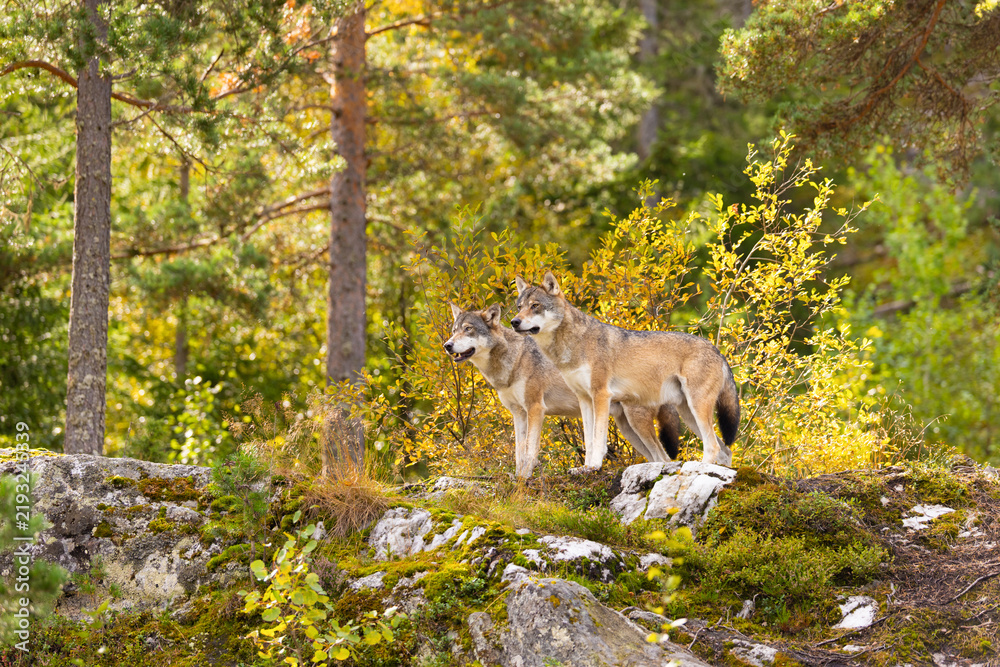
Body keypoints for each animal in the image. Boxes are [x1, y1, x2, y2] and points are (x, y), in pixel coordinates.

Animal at [444, 303, 677, 478]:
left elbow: (530, 450)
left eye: (468, 329)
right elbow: (519, 453)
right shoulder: (518, 413)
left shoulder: (535, 408)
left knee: (664, 458)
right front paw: (518, 477)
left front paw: (524, 479)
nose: (447, 345)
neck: (513, 360)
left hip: (637, 423)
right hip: (627, 429)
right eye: (454, 330)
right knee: (657, 457)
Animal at [511, 272, 740, 469]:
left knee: (713, 446)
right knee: (725, 450)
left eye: (535, 306)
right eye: (520, 306)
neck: (572, 346)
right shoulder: (584, 400)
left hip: (695, 408)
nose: (514, 322)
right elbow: (589, 440)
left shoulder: (601, 395)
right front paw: (585, 468)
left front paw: (595, 466)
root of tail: (716, 350)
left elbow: (598, 440)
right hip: (687, 413)